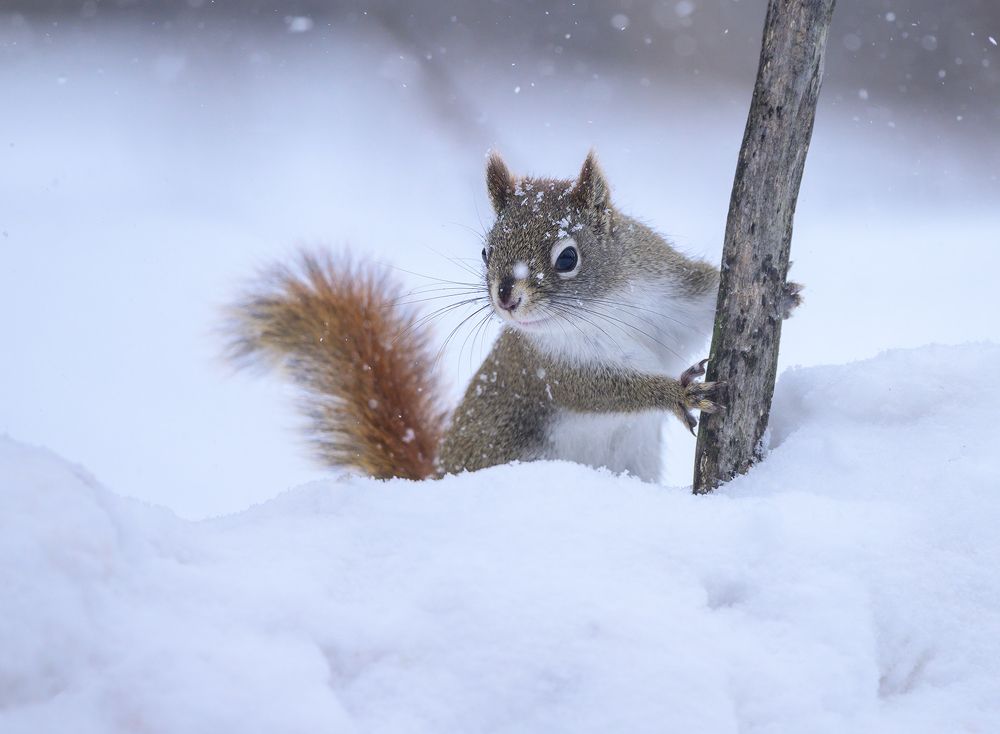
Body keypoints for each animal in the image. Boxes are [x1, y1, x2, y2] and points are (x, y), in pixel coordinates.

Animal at [227, 151, 730, 482]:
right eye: (486, 252)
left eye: (568, 258)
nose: (506, 297)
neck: (606, 305)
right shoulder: (549, 368)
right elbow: (604, 391)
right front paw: (677, 392)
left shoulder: (668, 287)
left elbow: (706, 292)